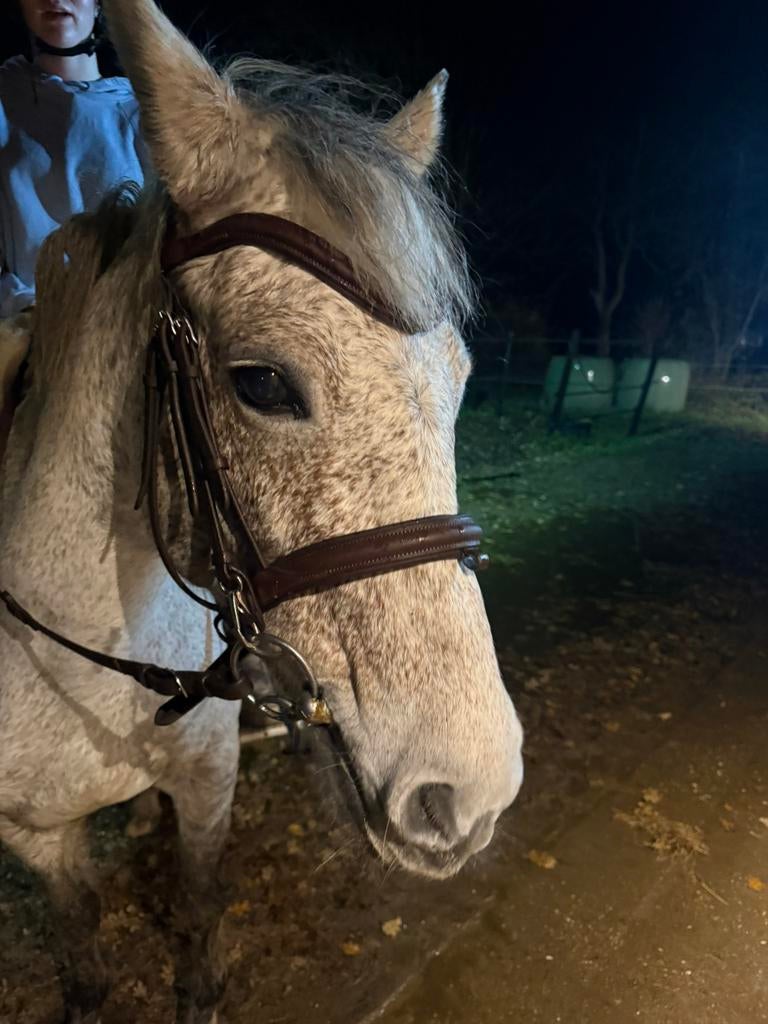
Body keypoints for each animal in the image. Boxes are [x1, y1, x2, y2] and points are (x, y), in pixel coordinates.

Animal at [0, 0, 523, 1020]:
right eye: (262, 383)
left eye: (459, 379)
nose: (468, 790)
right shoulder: (35, 836)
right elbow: (81, 939)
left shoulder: (208, 784)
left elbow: (200, 905)